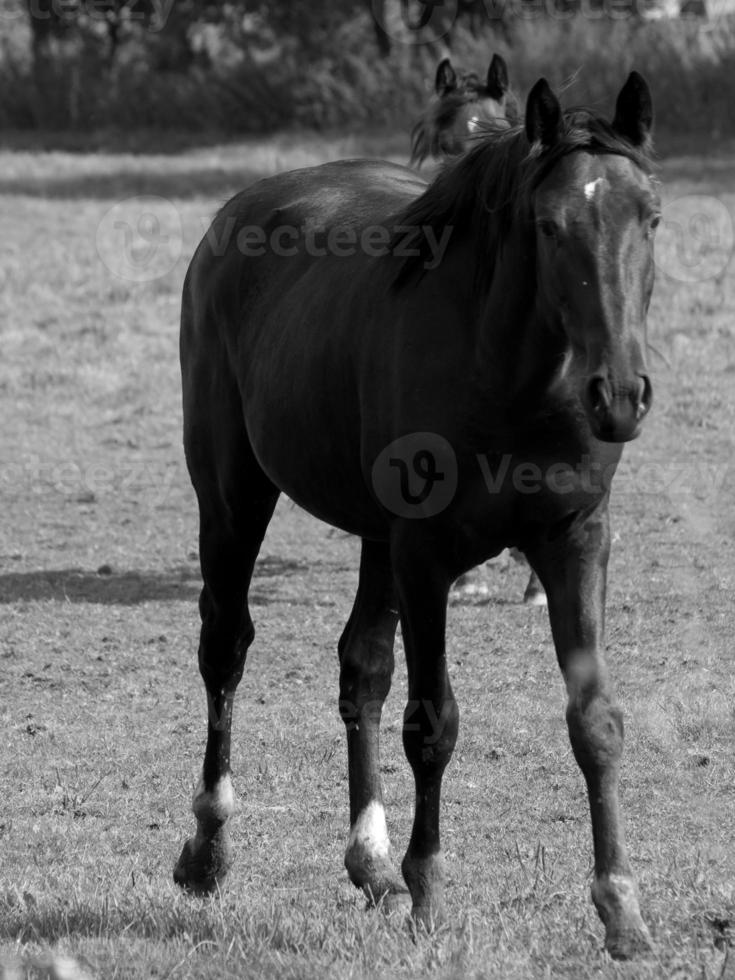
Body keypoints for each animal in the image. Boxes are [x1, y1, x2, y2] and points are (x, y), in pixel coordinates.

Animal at [177, 74, 660, 956]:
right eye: (549, 224)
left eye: (649, 215)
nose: (617, 394)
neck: (508, 372)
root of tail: (240, 210)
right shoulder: (427, 556)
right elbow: (432, 723)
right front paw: (431, 893)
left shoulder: (575, 542)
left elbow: (594, 721)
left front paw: (621, 910)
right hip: (233, 497)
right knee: (225, 648)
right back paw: (207, 849)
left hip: (375, 537)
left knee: (360, 667)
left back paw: (370, 864)